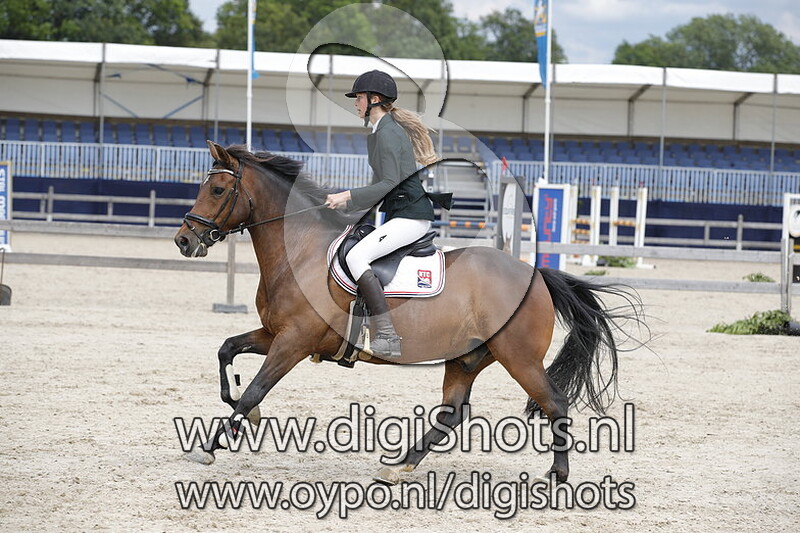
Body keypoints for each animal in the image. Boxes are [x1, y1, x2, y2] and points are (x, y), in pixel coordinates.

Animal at [174, 141, 645, 484]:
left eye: (218, 190)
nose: (183, 240)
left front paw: (211, 446)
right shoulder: (277, 333)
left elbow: (255, 388)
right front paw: (240, 416)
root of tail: (534, 274)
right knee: (452, 412)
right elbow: (226, 350)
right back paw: (401, 464)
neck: (299, 252)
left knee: (554, 403)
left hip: (519, 357)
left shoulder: (294, 341)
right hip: (467, 358)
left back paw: (557, 475)